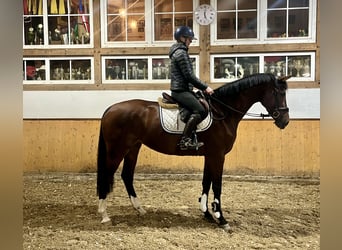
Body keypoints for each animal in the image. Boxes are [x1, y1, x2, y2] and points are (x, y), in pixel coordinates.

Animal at [96, 72, 288, 230]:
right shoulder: (218, 155)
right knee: (107, 174)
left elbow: (206, 182)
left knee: (127, 176)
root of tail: (110, 109)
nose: (285, 121)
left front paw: (207, 213)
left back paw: (139, 209)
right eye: (280, 93)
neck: (223, 112)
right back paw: (104, 215)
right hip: (117, 150)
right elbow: (216, 185)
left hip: (133, 148)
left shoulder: (210, 155)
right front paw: (221, 219)